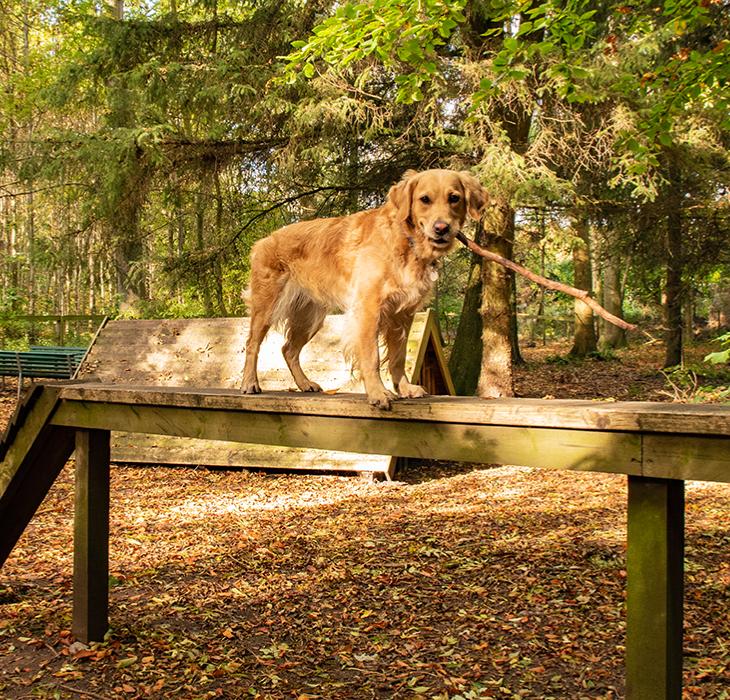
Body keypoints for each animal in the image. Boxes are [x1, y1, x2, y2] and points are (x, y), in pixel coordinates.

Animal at [242, 169, 486, 408]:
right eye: (424, 199)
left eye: (454, 198)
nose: (442, 228)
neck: (405, 240)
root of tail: (264, 240)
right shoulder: (369, 308)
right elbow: (372, 356)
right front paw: (378, 392)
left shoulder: (403, 314)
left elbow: (398, 357)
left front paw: (404, 388)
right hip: (267, 307)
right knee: (252, 345)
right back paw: (249, 383)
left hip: (309, 318)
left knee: (289, 349)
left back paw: (304, 383)